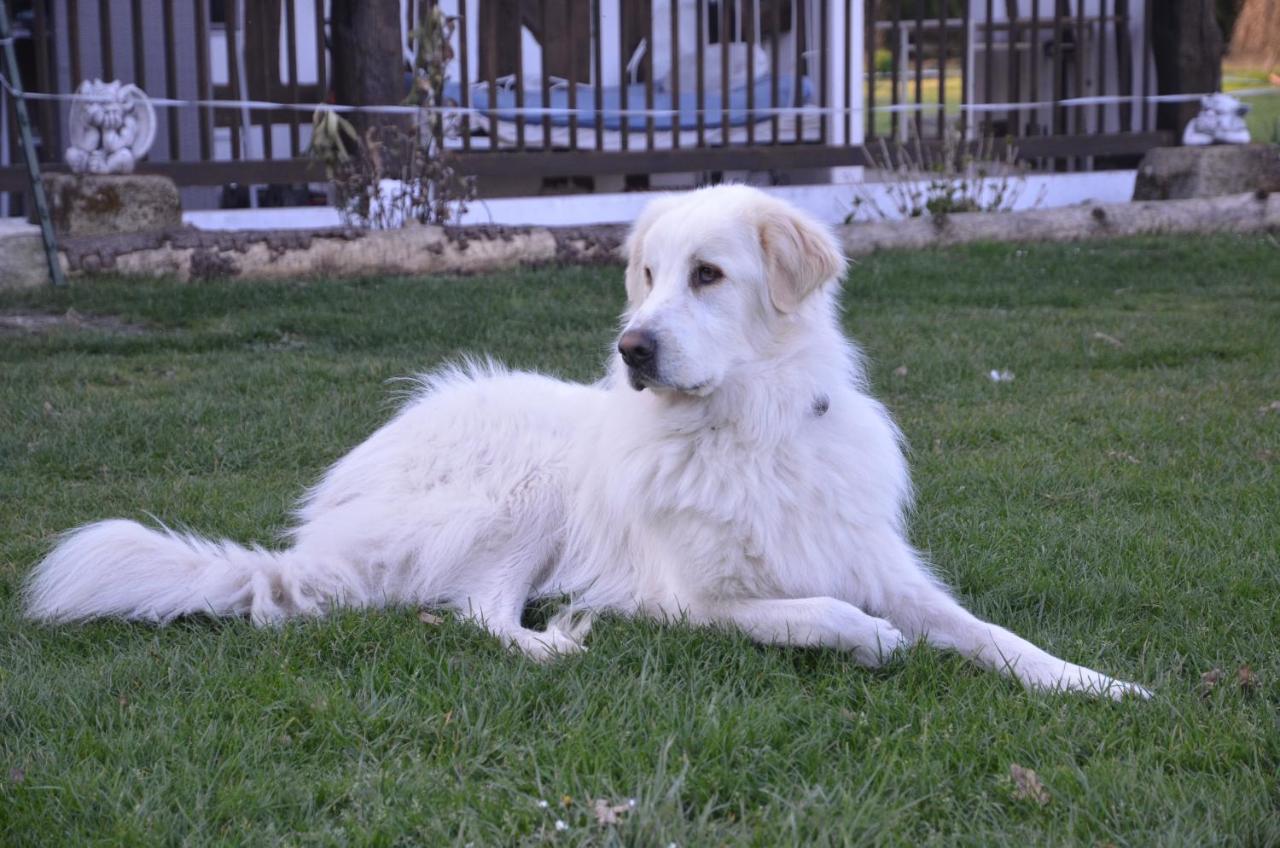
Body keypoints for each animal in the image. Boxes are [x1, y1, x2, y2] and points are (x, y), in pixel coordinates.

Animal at [22, 189, 1152, 701]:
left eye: (707, 275)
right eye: (646, 274)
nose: (632, 347)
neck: (742, 429)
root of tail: (319, 531)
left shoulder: (882, 562)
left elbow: (989, 633)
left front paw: (1099, 685)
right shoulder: (688, 600)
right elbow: (816, 614)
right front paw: (869, 639)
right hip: (521, 494)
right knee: (476, 611)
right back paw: (553, 637)